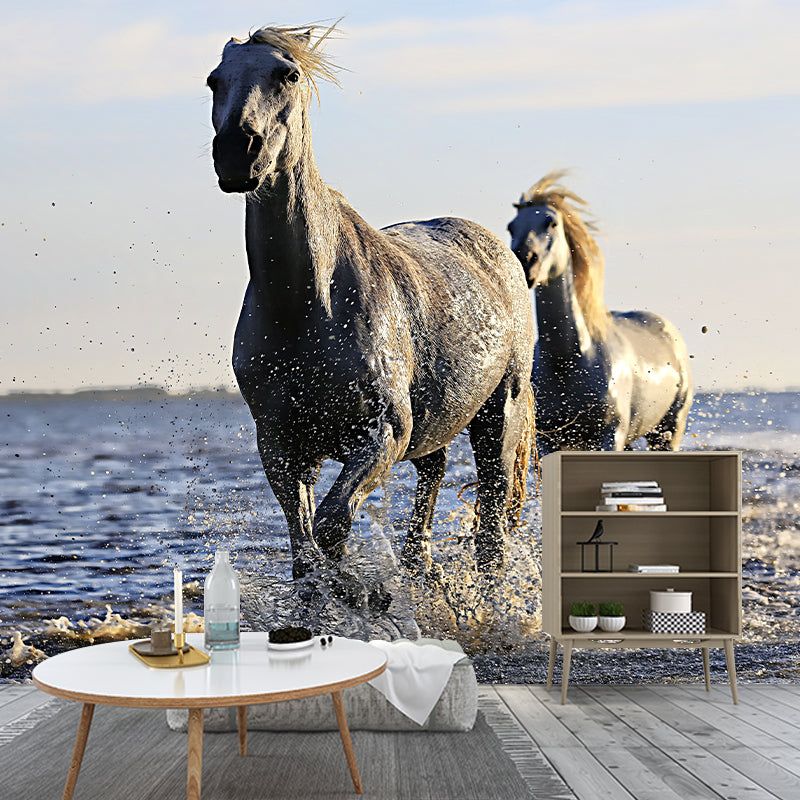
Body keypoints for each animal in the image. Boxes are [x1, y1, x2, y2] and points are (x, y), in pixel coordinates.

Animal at [206, 24, 535, 609]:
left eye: (287, 74)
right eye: (213, 80)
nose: (237, 152)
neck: (307, 306)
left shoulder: (381, 433)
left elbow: (332, 527)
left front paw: (360, 597)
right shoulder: (282, 446)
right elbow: (305, 549)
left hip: (500, 420)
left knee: (492, 531)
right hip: (436, 429)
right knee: (430, 489)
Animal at [507, 171, 692, 454]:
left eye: (551, 223)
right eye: (511, 226)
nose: (525, 260)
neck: (570, 359)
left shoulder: (610, 435)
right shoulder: (550, 440)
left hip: (668, 431)